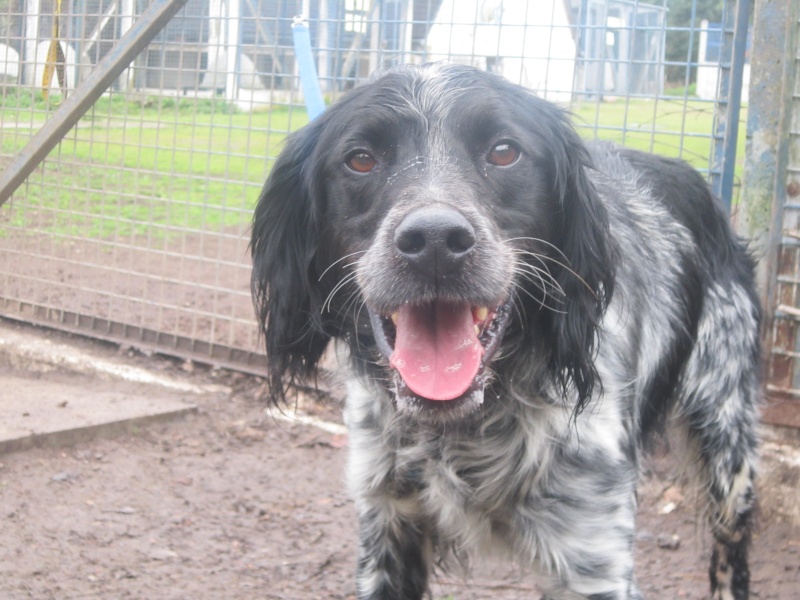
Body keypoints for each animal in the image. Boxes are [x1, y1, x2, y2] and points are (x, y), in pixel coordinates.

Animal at [252, 64, 764, 600]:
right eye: (360, 159)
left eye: (504, 151)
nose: (434, 241)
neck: (459, 431)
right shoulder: (387, 520)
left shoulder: (594, 554)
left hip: (728, 443)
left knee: (731, 548)